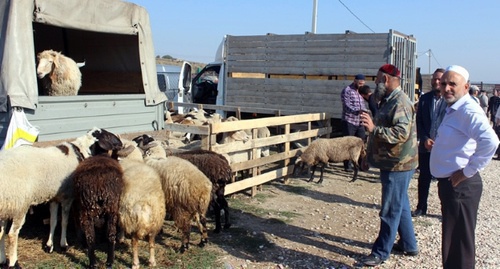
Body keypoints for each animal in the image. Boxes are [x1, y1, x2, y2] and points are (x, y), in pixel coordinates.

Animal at [0, 127, 120, 268]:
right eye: (107, 135)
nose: (120, 143)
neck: (80, 150)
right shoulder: (67, 197)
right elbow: (64, 221)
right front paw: (64, 244)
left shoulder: (54, 197)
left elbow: (53, 221)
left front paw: (49, 246)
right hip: (20, 204)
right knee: (12, 234)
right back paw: (14, 263)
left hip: (6, 204)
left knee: (1, 232)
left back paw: (2, 259)